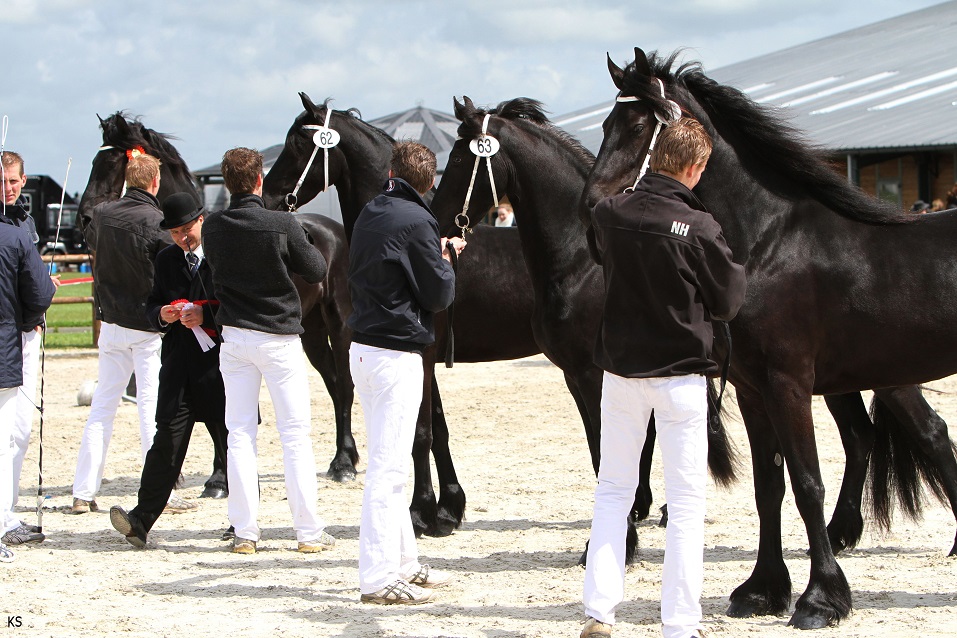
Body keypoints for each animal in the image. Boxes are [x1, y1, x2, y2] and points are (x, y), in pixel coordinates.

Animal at [79, 115, 358, 484]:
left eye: (111, 163)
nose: (84, 218)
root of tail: (334, 231)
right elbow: (213, 416)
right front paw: (219, 476)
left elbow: (219, 413)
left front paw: (223, 478)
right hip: (310, 332)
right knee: (333, 383)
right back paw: (344, 457)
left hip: (339, 324)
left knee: (345, 387)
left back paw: (344, 463)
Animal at [580, 48, 956, 632]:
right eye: (604, 125)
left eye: (639, 125)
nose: (592, 211)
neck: (768, 242)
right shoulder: (753, 390)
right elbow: (768, 487)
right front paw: (762, 590)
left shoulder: (788, 386)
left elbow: (806, 483)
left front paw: (820, 600)